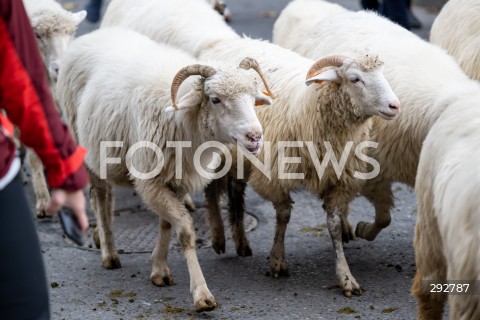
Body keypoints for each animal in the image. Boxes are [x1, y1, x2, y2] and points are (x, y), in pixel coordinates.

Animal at [55, 26, 274, 312]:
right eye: (215, 99)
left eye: (252, 97)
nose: (255, 137)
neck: (183, 118)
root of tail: (93, 34)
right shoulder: (150, 181)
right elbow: (185, 232)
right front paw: (201, 294)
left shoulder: (177, 178)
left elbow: (166, 224)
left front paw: (159, 269)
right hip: (83, 144)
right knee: (100, 198)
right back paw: (108, 253)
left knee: (107, 196)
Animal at [98, 0, 402, 298]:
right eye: (355, 78)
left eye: (382, 73)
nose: (394, 105)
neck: (312, 106)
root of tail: (221, 43)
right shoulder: (274, 172)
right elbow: (283, 215)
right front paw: (277, 260)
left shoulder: (338, 178)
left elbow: (334, 226)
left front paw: (346, 276)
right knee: (213, 191)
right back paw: (219, 236)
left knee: (235, 188)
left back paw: (241, 239)